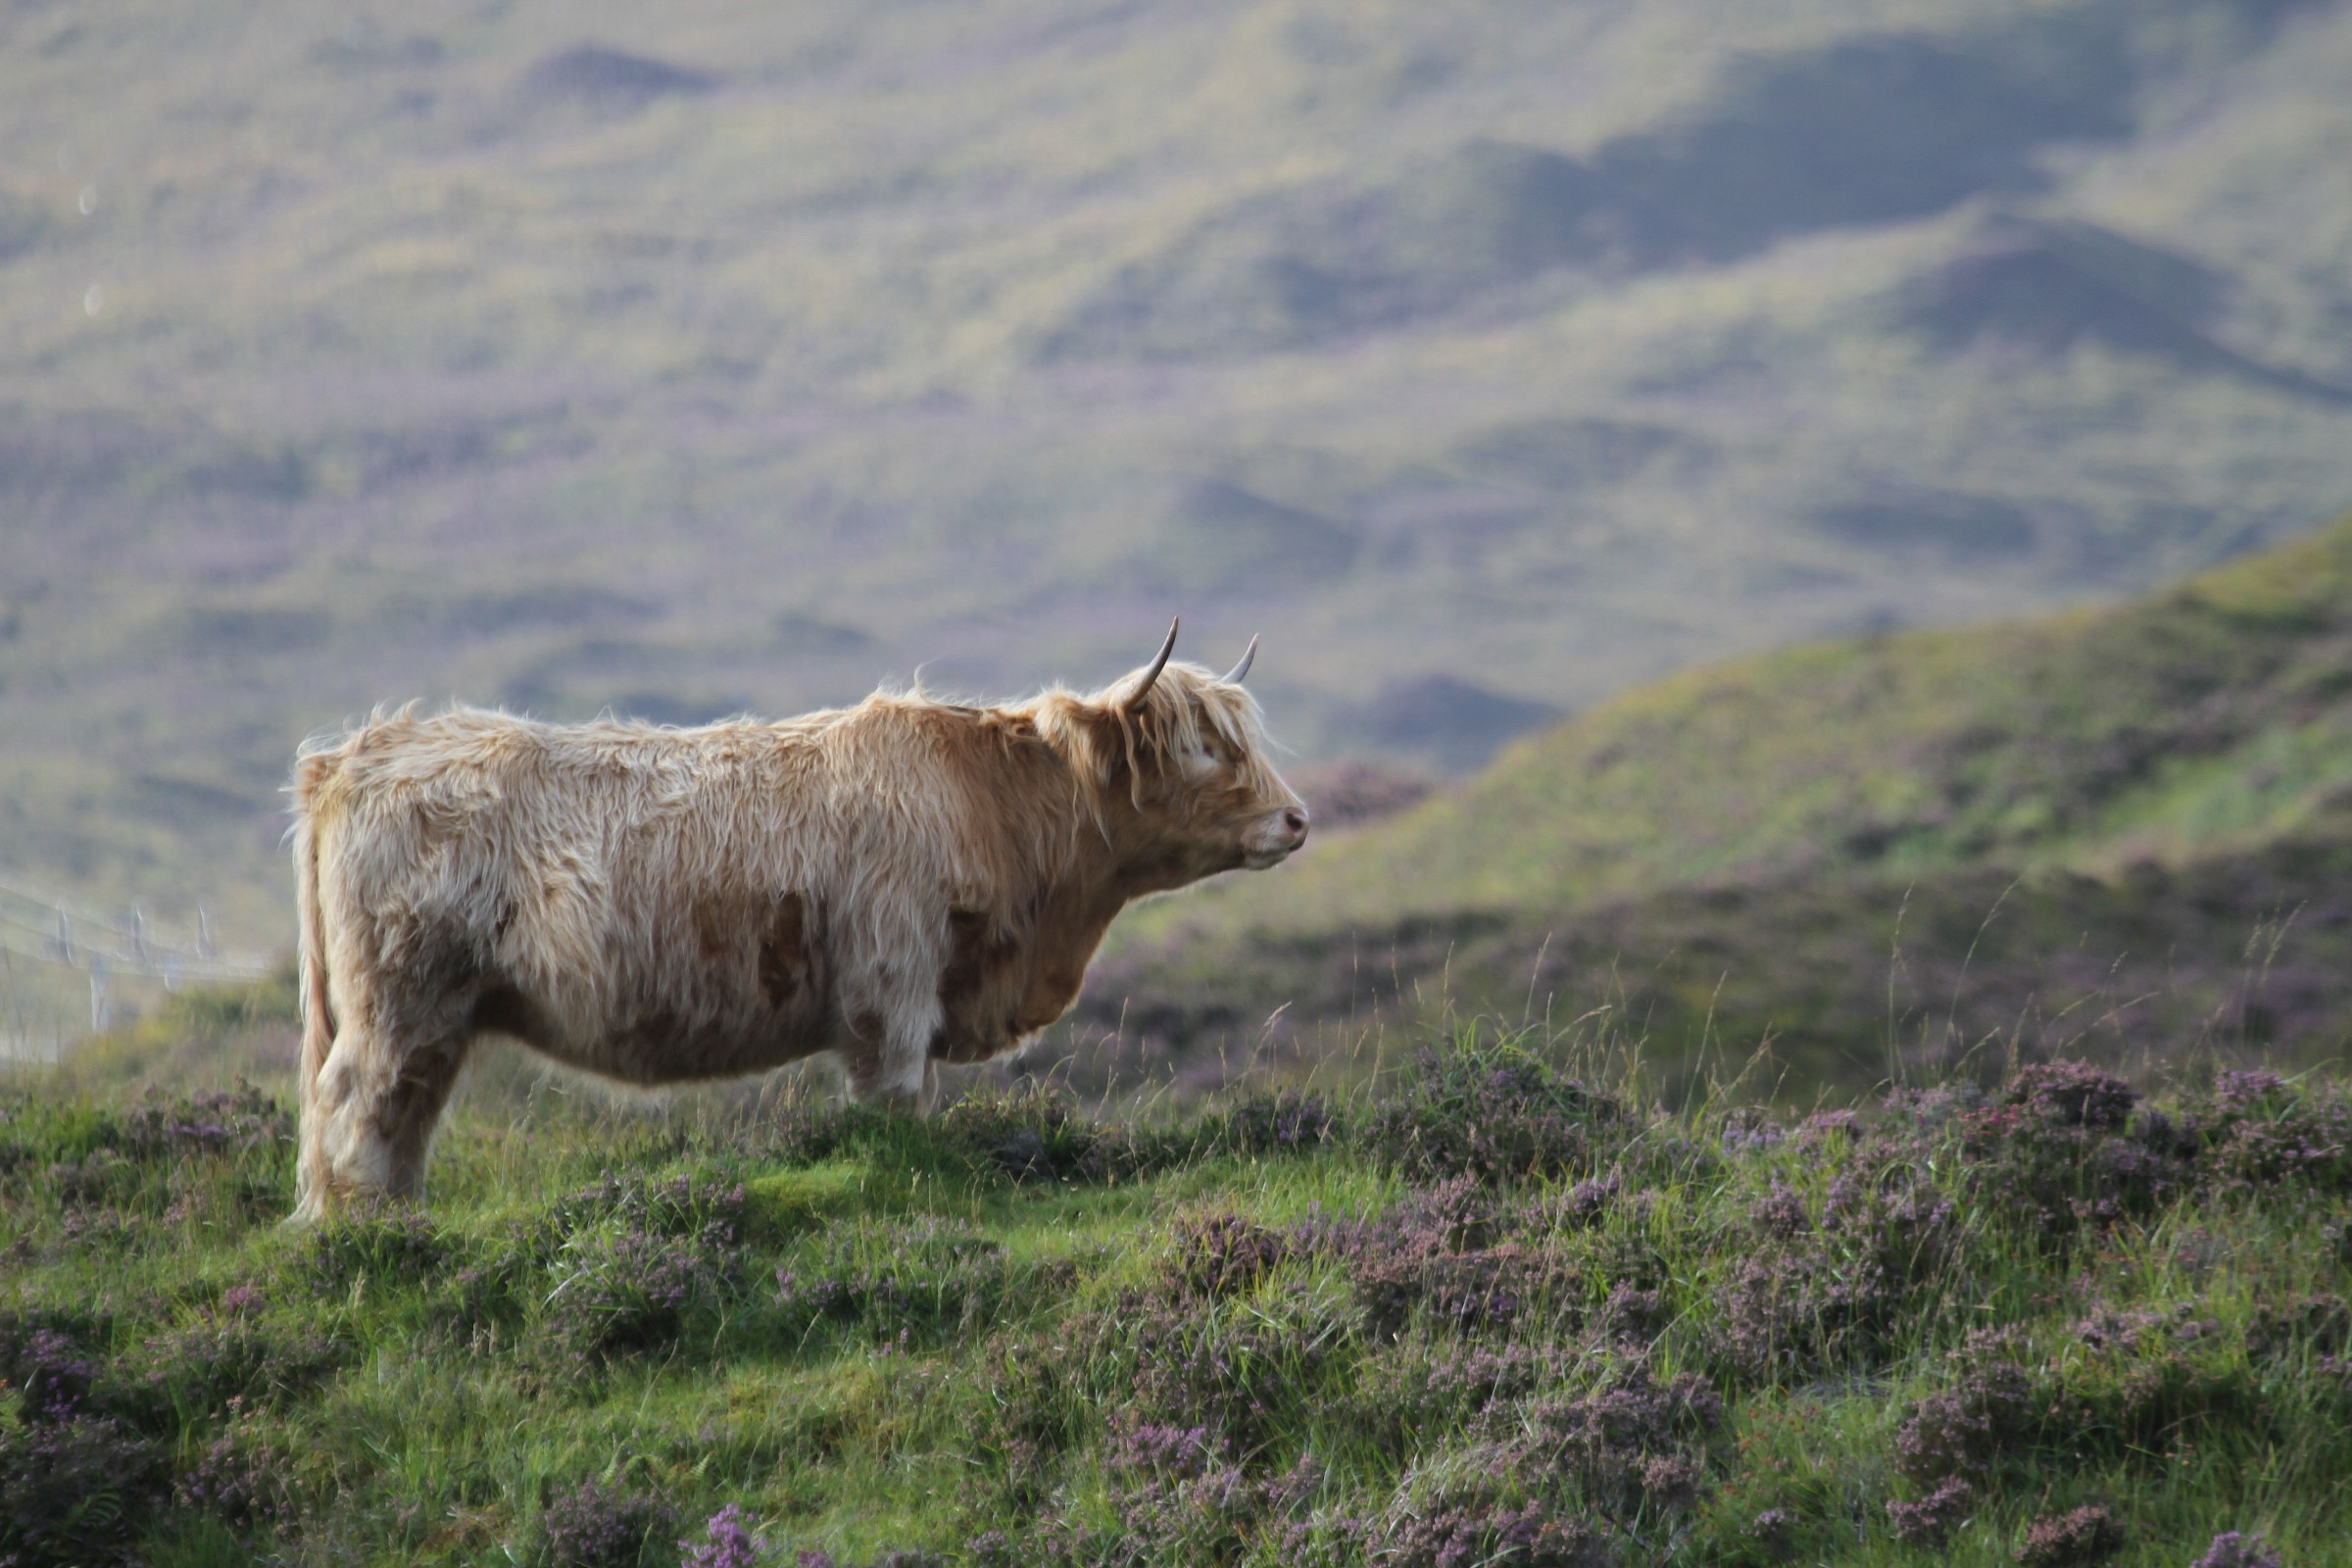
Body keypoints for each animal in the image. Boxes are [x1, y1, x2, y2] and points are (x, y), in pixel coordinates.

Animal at [287, 622, 1307, 1219]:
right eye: (1203, 748)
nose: (1297, 818)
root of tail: (357, 753)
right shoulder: (891, 990)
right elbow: (894, 1108)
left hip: (439, 1018)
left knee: (406, 1113)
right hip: (400, 1000)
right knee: (357, 1109)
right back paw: (368, 1234)